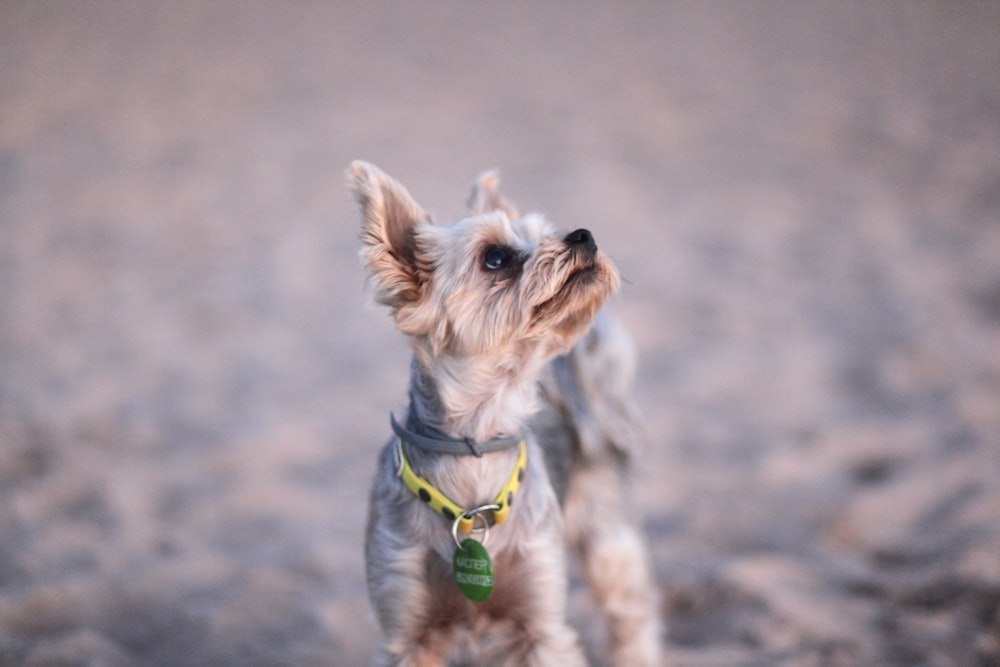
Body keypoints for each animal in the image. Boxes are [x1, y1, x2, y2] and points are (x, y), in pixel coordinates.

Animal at [348, 163, 660, 667]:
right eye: (495, 257)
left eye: (543, 232)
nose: (583, 235)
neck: (478, 445)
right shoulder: (407, 632)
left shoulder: (542, 626)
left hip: (606, 529)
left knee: (631, 610)